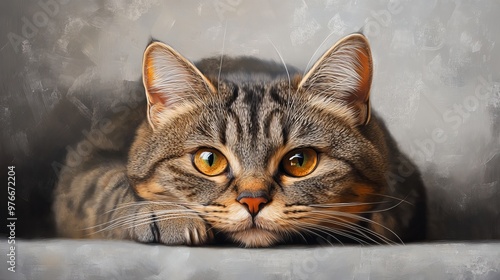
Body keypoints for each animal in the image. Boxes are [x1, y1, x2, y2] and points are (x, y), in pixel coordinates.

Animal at [52, 33, 426, 247]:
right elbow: (108, 184)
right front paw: (165, 212)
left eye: (300, 162)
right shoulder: (83, 169)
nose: (253, 201)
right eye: (208, 160)